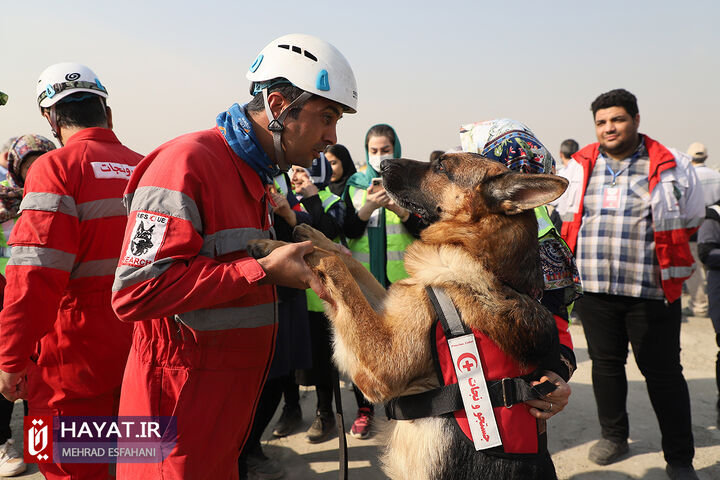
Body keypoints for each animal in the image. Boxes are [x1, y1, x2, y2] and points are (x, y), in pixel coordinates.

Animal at [248, 154, 568, 480]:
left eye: (440, 166)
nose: (383, 164)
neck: (484, 261)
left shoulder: (382, 363)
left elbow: (335, 264)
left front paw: (297, 253)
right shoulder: (387, 305)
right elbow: (350, 262)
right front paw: (286, 243)